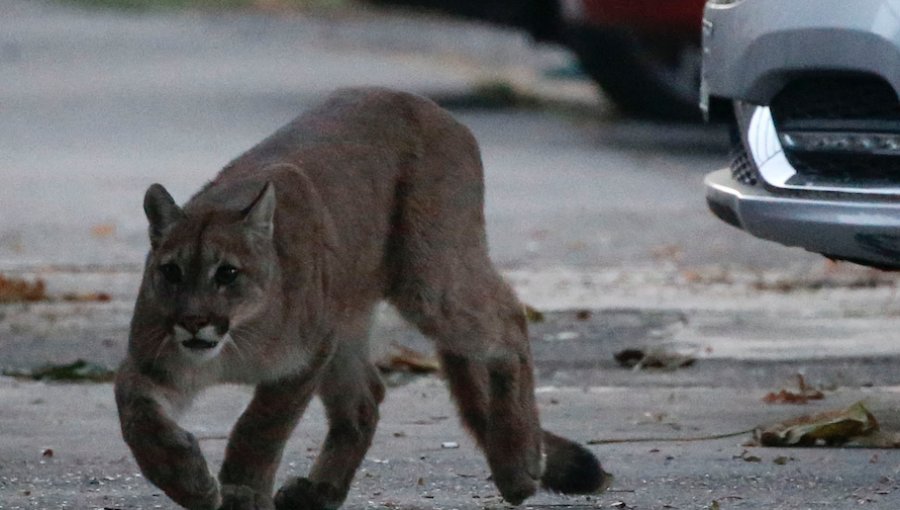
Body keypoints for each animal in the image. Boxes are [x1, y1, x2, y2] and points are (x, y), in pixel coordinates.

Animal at [112, 85, 604, 508]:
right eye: (171, 272)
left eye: (227, 273)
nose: (194, 321)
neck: (236, 340)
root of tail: (426, 105)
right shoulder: (148, 361)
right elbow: (137, 418)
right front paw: (190, 481)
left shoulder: (306, 356)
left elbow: (261, 424)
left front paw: (241, 491)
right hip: (347, 317)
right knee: (366, 396)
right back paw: (318, 492)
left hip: (429, 279)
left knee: (508, 319)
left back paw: (518, 464)